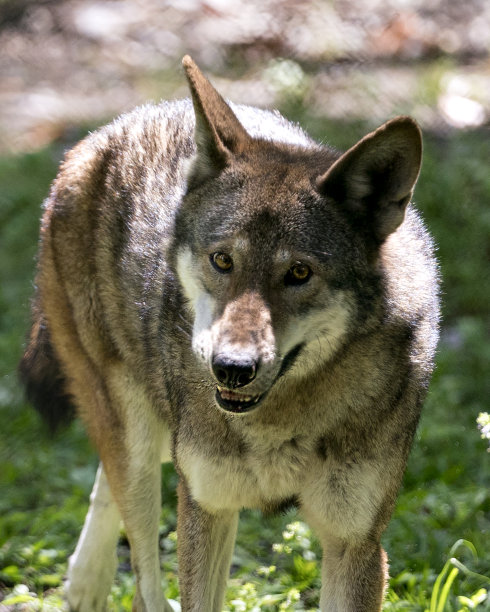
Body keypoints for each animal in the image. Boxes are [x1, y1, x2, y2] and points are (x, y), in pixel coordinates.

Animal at [19, 55, 440, 608]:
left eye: (299, 272)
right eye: (222, 260)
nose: (232, 369)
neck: (281, 421)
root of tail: (102, 135)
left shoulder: (355, 542)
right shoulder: (207, 506)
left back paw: (84, 584)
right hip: (139, 444)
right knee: (144, 576)